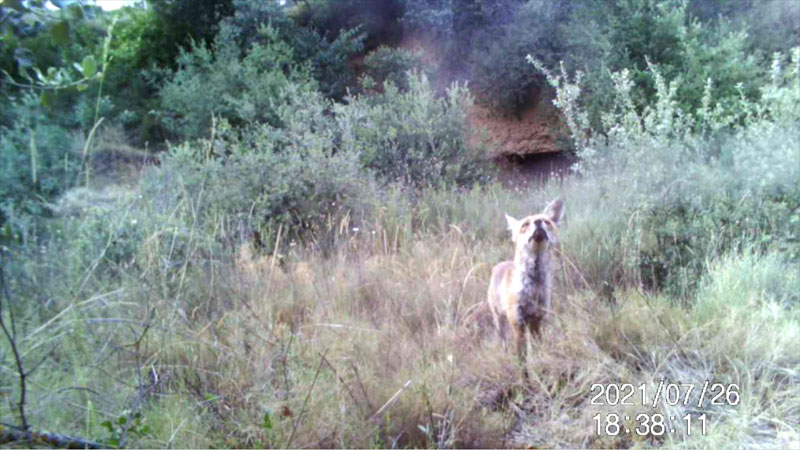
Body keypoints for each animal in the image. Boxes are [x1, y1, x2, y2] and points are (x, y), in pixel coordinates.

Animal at [488, 199, 564, 378]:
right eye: (525, 224)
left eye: (547, 221)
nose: (538, 222)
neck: (533, 288)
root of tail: (500, 264)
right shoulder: (518, 324)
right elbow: (522, 361)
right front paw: (525, 379)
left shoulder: (537, 321)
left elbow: (537, 351)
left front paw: (541, 367)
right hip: (500, 320)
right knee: (503, 342)